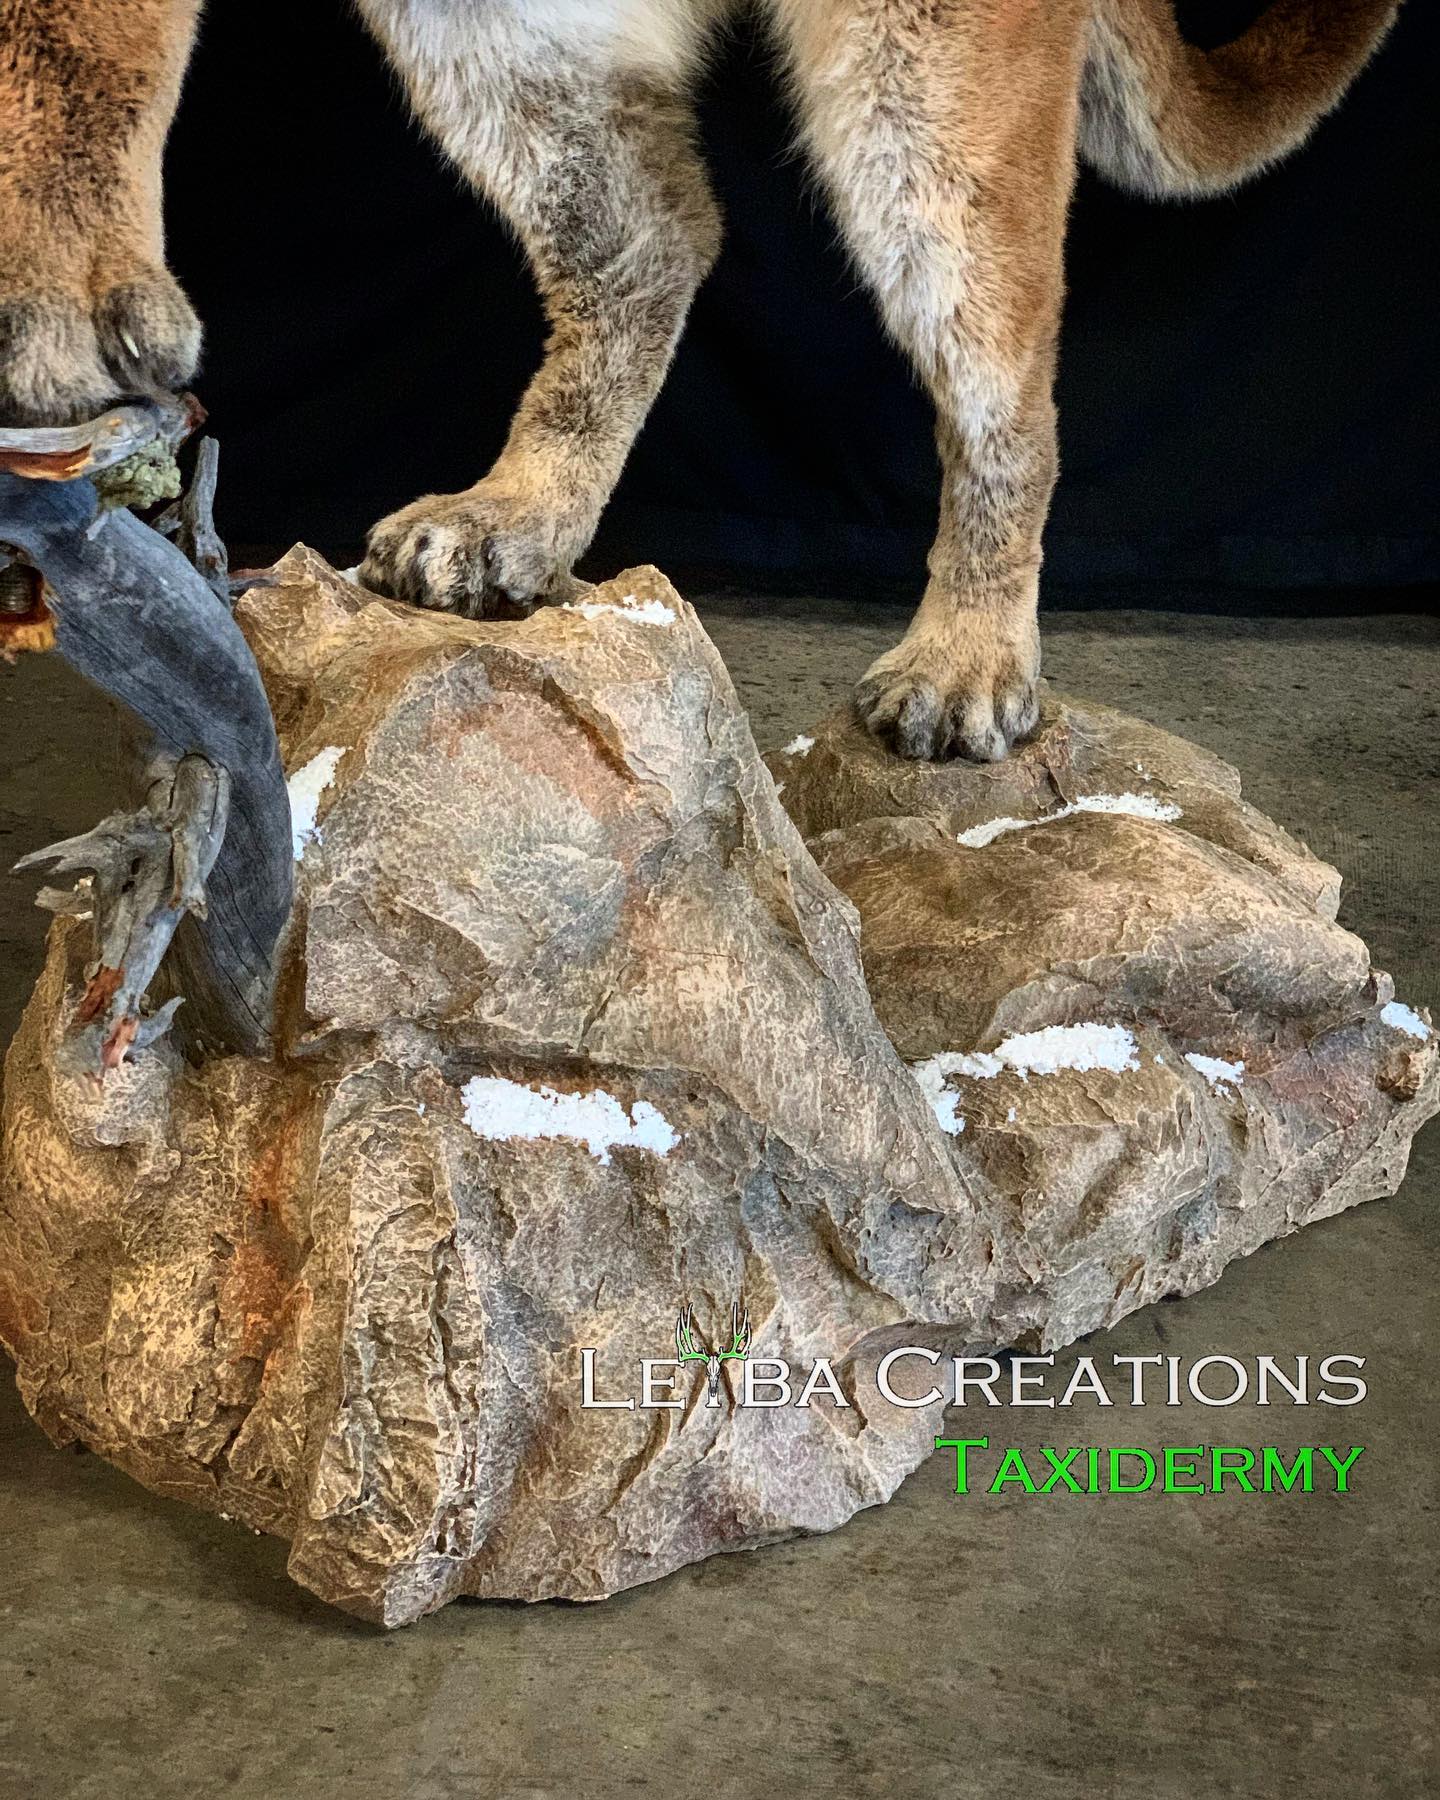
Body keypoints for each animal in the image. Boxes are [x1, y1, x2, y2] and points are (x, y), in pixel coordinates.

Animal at [0, 0, 1399, 760]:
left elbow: (68, 45)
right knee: (656, 231)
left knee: (1006, 380)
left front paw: (56, 318)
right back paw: (513, 518)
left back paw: (964, 662)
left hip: (919, 85)